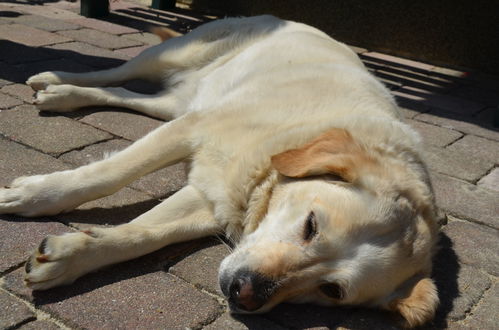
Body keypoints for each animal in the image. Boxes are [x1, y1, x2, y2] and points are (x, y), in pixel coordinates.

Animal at [0, 14, 440, 328]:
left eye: (331, 290)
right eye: (311, 225)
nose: (245, 293)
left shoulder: (212, 197)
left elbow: (143, 235)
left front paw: (72, 256)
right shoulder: (193, 131)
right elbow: (108, 175)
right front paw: (33, 194)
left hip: (177, 104)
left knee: (126, 94)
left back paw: (65, 95)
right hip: (178, 56)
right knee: (116, 73)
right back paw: (55, 81)